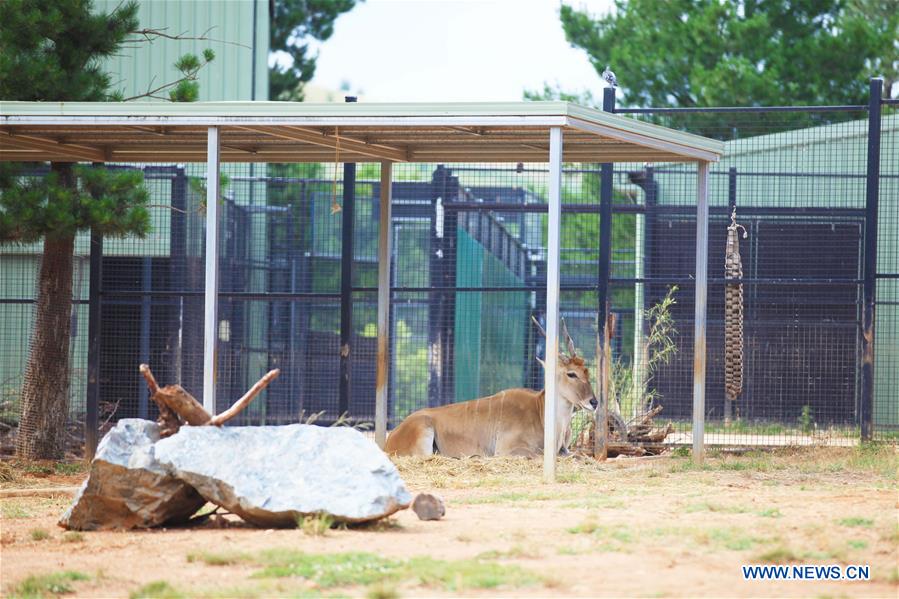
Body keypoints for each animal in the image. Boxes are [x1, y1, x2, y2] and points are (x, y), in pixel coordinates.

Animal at [386, 322, 596, 458]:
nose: (594, 402)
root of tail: (390, 438)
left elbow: (578, 456)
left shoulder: (565, 450)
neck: (540, 412)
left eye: (587, 371)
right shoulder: (507, 450)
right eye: (571, 374)